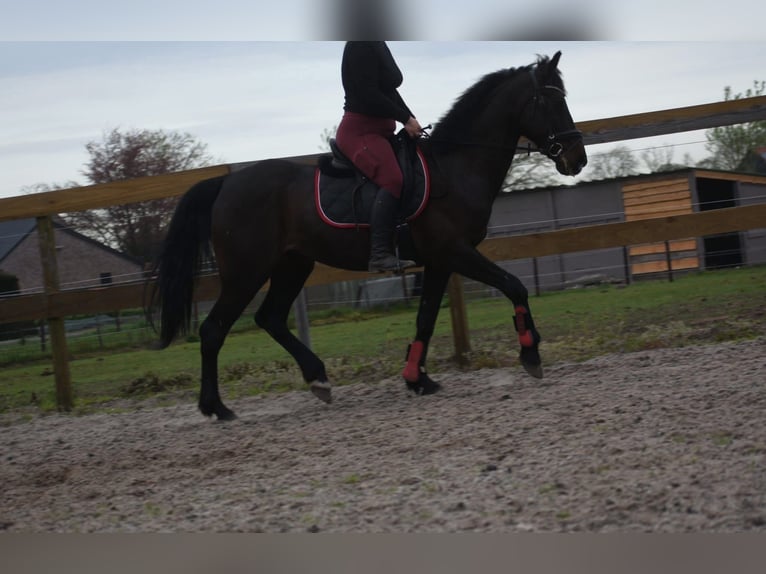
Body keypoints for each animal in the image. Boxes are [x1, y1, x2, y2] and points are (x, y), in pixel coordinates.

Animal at [148, 51, 587, 420]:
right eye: (550, 102)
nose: (576, 159)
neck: (456, 167)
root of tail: (226, 185)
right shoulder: (456, 252)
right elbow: (514, 286)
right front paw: (530, 354)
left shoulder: (439, 261)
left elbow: (426, 319)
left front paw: (417, 378)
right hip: (246, 271)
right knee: (213, 330)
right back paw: (216, 408)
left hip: (293, 264)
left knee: (269, 317)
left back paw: (318, 379)